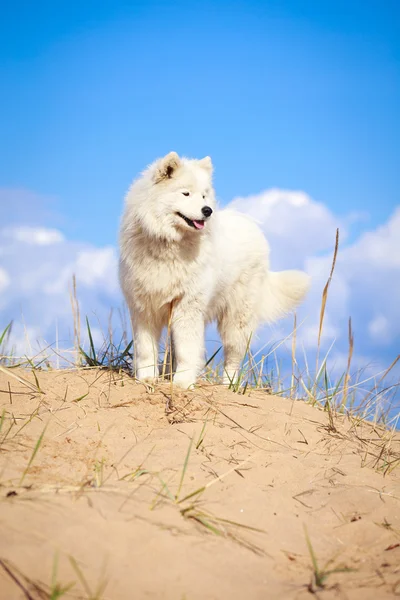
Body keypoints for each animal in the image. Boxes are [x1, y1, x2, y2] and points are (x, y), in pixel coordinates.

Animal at [119, 152, 310, 390]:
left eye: (203, 196)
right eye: (186, 193)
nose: (207, 211)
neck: (168, 244)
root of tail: (253, 227)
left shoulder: (188, 307)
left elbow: (187, 350)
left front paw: (182, 383)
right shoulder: (143, 308)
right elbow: (146, 350)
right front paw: (147, 379)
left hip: (236, 319)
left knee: (233, 356)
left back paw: (228, 385)